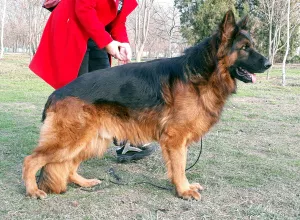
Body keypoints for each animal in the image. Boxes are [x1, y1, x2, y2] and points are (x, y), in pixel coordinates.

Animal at [22, 9, 270, 199]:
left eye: (252, 45)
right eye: (245, 48)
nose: (269, 63)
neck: (203, 73)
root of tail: (56, 94)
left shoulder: (178, 141)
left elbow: (179, 166)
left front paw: (183, 186)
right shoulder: (175, 139)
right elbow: (180, 167)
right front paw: (183, 190)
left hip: (91, 141)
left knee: (69, 166)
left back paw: (83, 182)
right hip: (71, 140)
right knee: (31, 161)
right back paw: (33, 190)